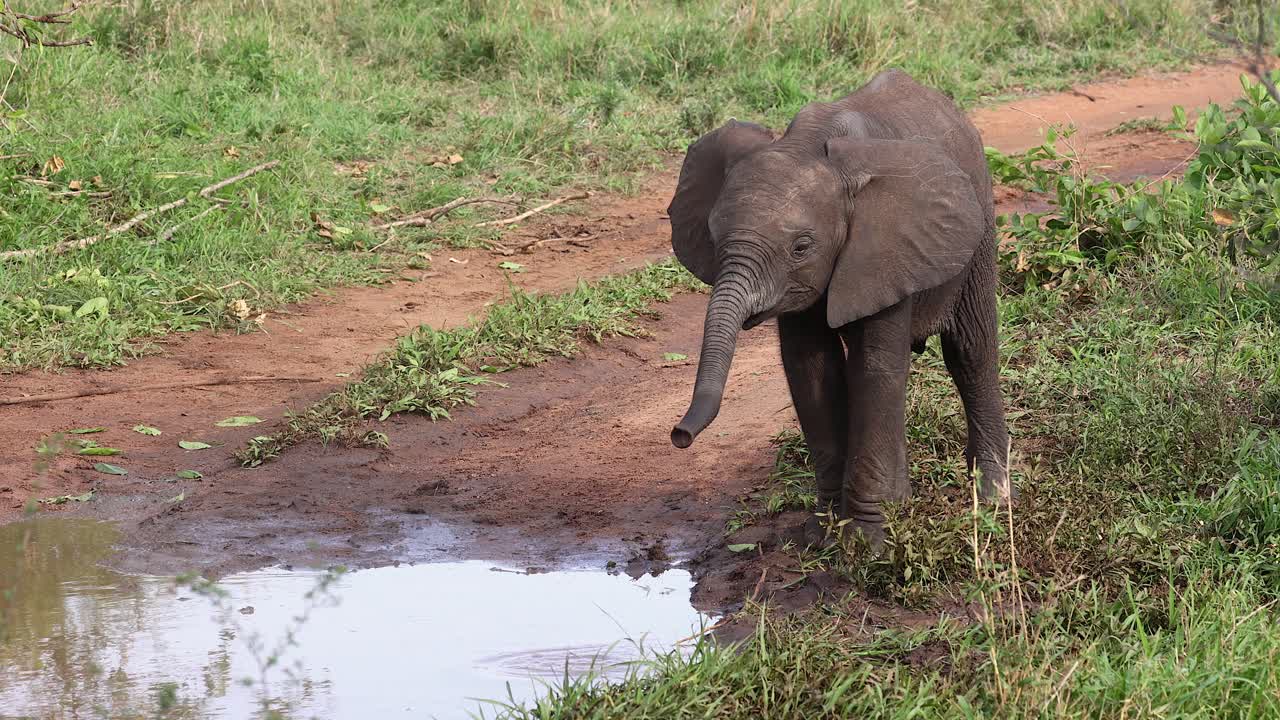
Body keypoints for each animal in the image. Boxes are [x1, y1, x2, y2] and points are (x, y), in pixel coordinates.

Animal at [666, 69, 1012, 542]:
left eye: (801, 247)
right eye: (715, 238)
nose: (679, 435)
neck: (809, 145)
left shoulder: (887, 246)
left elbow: (875, 367)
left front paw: (869, 542)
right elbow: (810, 367)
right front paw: (824, 535)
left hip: (979, 224)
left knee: (971, 351)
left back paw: (993, 499)